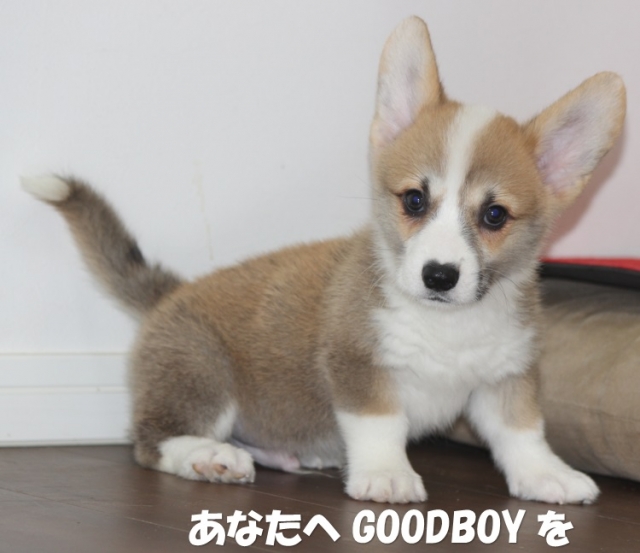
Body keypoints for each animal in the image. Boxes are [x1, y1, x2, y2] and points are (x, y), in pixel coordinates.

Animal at [22, 16, 625, 504]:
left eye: (495, 215)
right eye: (414, 201)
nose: (439, 276)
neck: (446, 325)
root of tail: (169, 293)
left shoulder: (504, 378)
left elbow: (522, 433)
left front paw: (547, 476)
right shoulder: (358, 365)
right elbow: (381, 424)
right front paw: (386, 476)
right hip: (203, 375)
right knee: (151, 441)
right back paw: (210, 457)